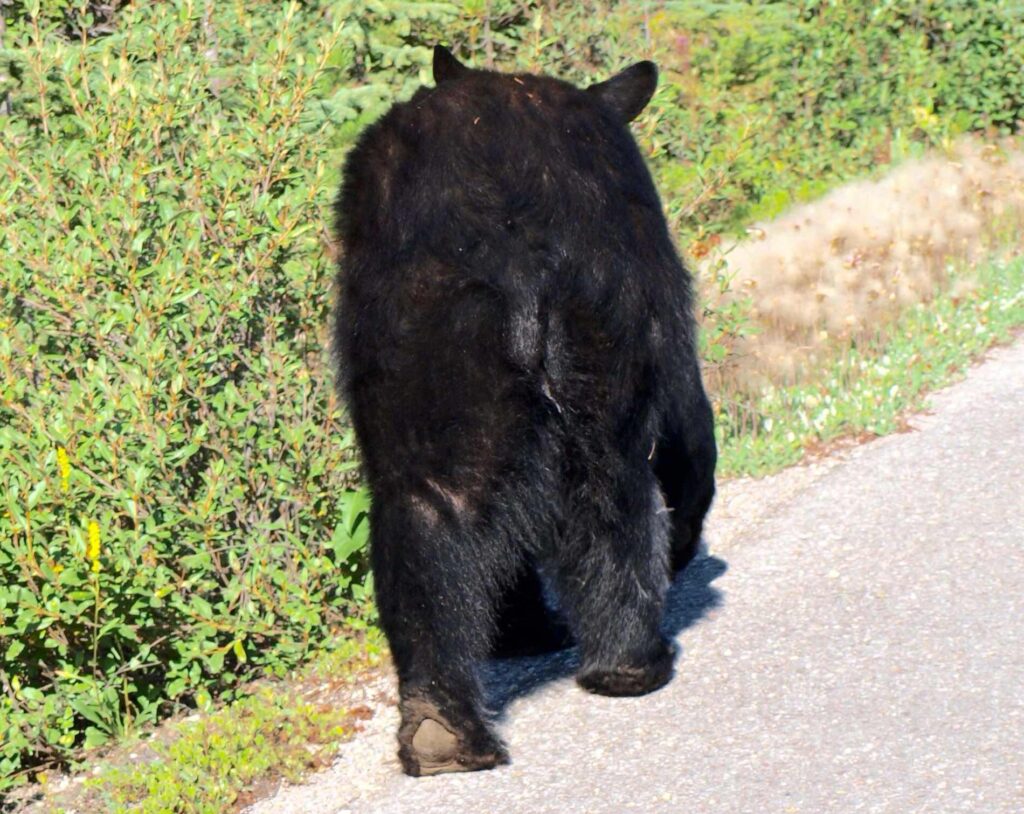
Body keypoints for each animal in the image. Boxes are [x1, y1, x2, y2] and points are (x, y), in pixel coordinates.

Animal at [331, 44, 716, 778]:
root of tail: (504, 229)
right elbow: (686, 415)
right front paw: (685, 535)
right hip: (600, 313)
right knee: (612, 474)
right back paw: (631, 662)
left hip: (424, 340)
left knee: (428, 505)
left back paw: (443, 729)